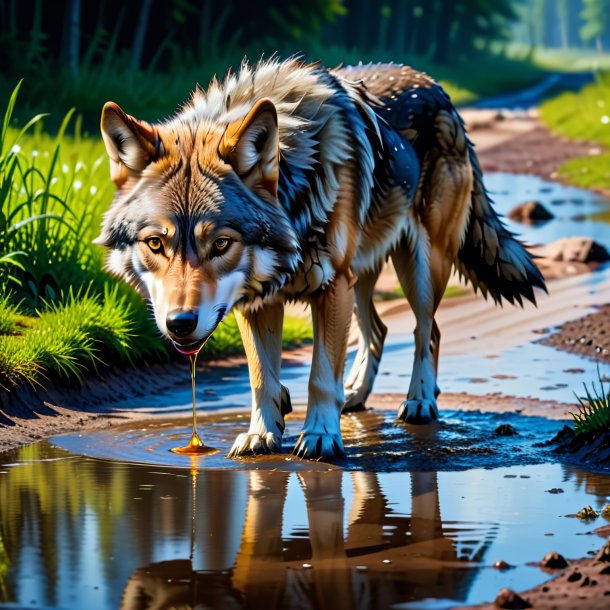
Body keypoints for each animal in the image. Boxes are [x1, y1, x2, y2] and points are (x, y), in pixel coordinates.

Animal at [97, 58, 544, 456]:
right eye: (157, 244)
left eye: (221, 244)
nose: (180, 323)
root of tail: (437, 87)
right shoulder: (258, 300)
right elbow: (261, 376)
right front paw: (263, 432)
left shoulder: (330, 288)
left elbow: (320, 375)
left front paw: (319, 436)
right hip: (361, 279)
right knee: (379, 330)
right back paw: (356, 396)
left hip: (417, 268)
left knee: (426, 331)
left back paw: (420, 401)